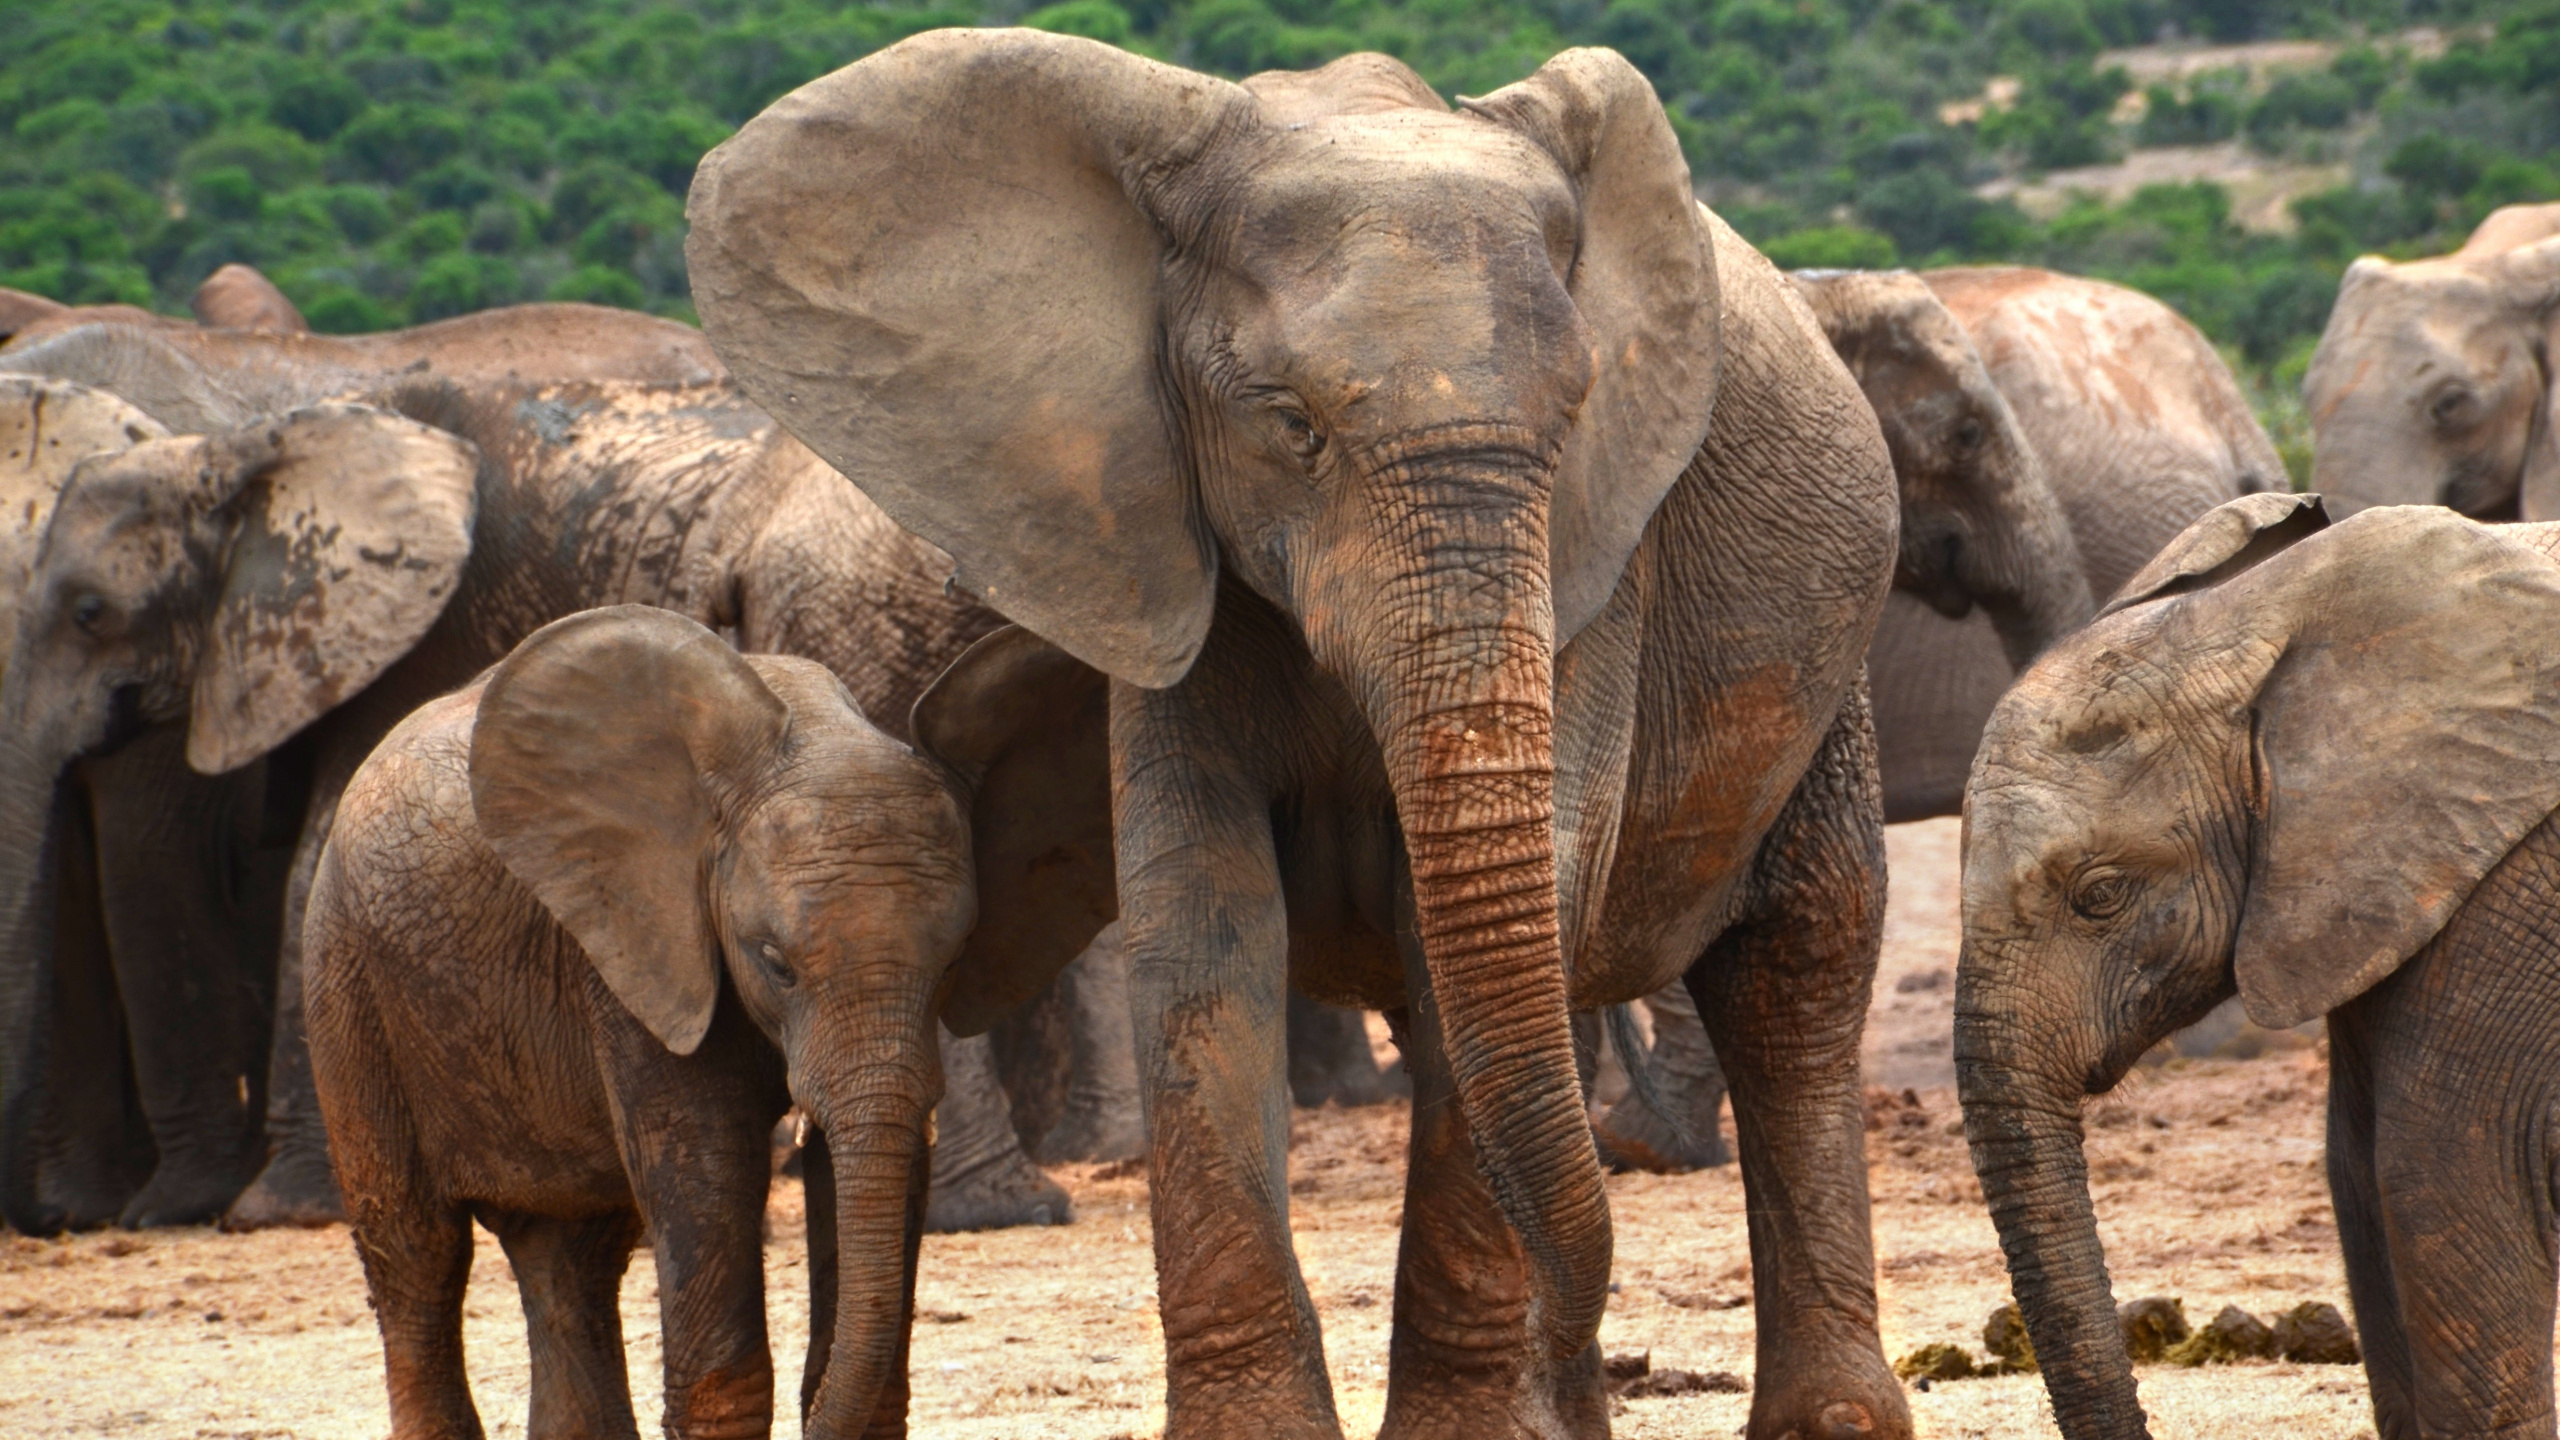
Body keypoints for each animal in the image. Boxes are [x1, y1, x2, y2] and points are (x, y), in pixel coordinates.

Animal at [309, 606, 1111, 1440]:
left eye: (955, 958)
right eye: (775, 962)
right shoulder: (638, 947)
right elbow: (707, 1169)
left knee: (573, 1254)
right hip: (344, 976)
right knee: (416, 1254)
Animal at [690, 32, 1905, 1440]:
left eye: (1574, 419)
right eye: (1292, 427)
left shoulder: (1606, 557)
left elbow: (1513, 914)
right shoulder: (1154, 535)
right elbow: (1202, 928)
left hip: (1832, 671)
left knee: (1799, 965)